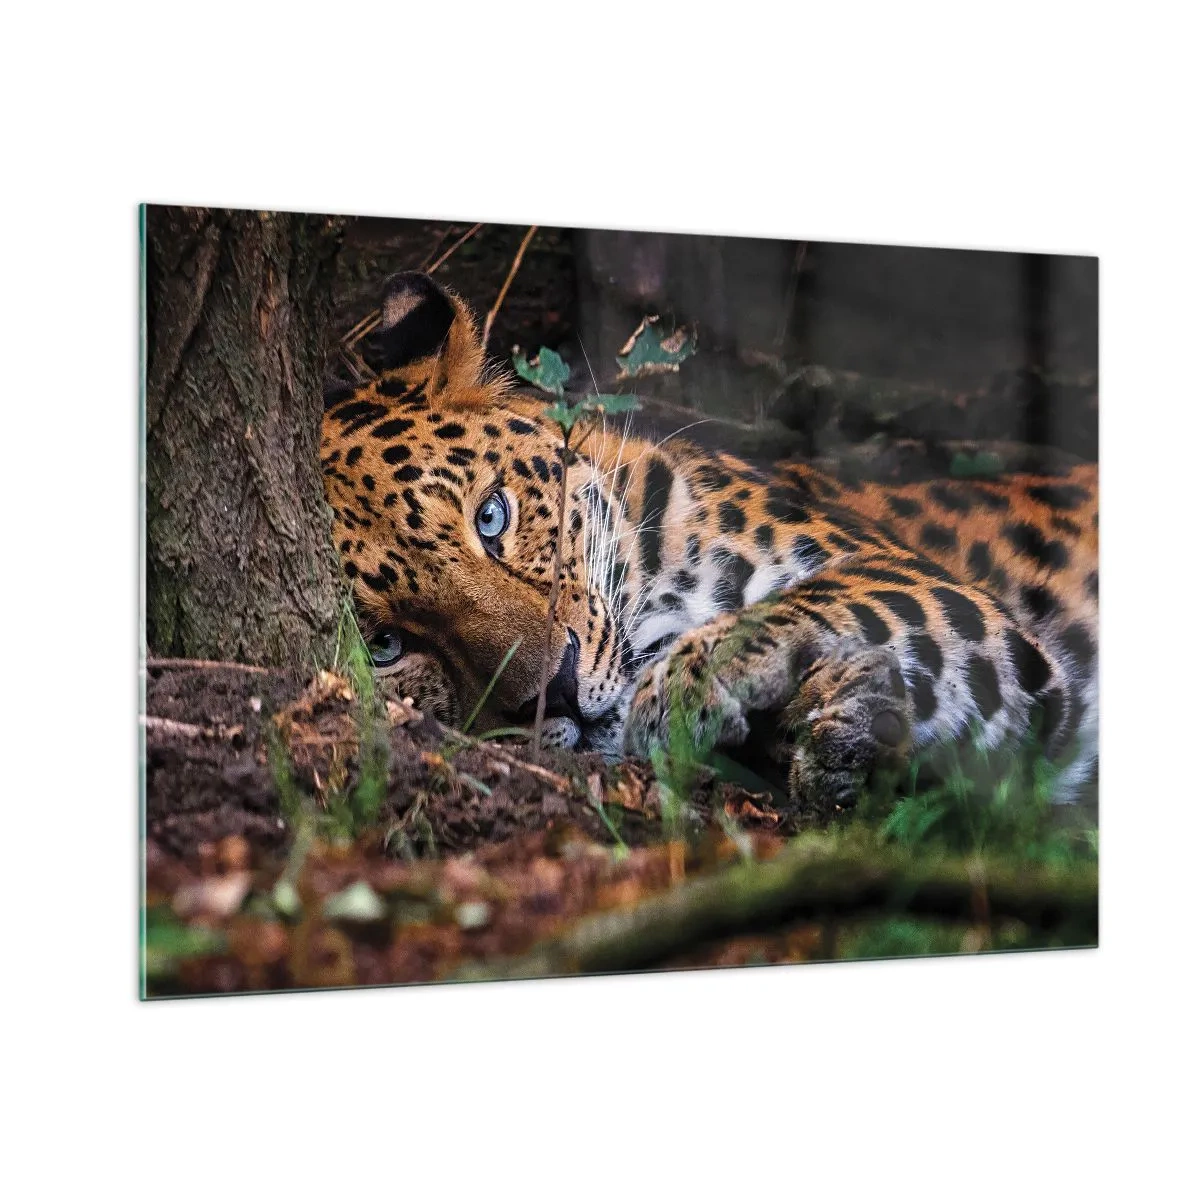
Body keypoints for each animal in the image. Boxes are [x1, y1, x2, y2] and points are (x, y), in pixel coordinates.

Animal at [321, 271, 1098, 815]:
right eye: (385, 646)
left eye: (491, 517)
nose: (559, 692)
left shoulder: (927, 583)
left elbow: (831, 592)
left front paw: (693, 681)